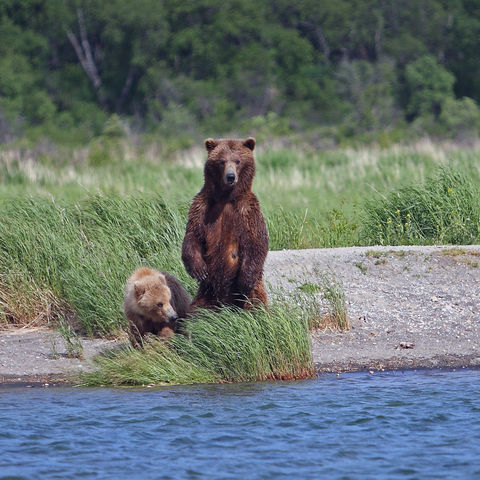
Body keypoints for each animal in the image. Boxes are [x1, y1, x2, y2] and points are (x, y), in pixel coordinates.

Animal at [182, 138, 268, 312]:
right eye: (222, 161)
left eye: (238, 161)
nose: (230, 176)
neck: (226, 198)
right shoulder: (202, 207)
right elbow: (193, 235)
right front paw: (198, 269)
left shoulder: (248, 211)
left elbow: (256, 241)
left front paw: (244, 281)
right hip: (207, 292)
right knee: (196, 311)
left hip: (252, 292)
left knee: (256, 304)